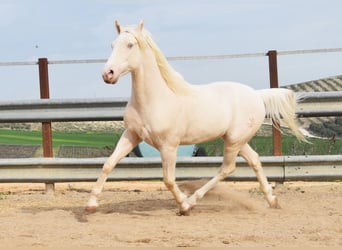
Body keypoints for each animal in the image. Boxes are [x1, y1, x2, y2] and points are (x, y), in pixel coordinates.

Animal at [85, 20, 304, 215]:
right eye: (113, 44)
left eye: (130, 45)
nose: (108, 74)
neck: (156, 99)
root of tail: (257, 95)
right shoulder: (132, 135)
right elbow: (108, 164)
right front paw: (91, 205)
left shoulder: (169, 146)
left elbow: (168, 180)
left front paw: (183, 205)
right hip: (237, 140)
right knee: (255, 160)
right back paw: (272, 200)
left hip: (234, 140)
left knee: (227, 168)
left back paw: (192, 202)